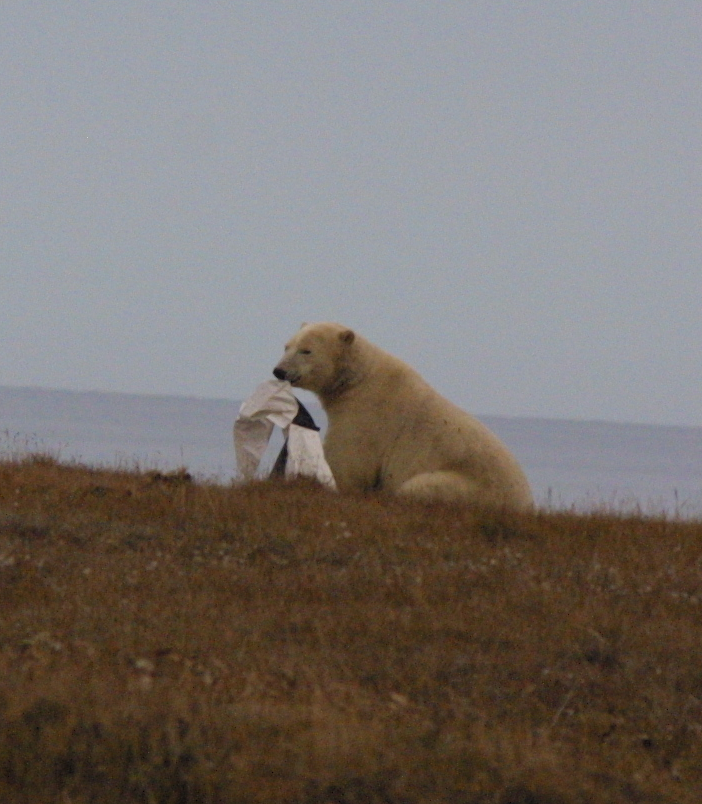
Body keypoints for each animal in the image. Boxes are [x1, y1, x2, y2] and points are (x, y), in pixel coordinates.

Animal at [274, 322, 532, 506]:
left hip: (470, 486)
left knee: (419, 487)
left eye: (306, 351)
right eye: (287, 346)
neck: (359, 378)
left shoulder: (367, 413)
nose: (279, 371)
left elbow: (349, 462)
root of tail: (524, 505)